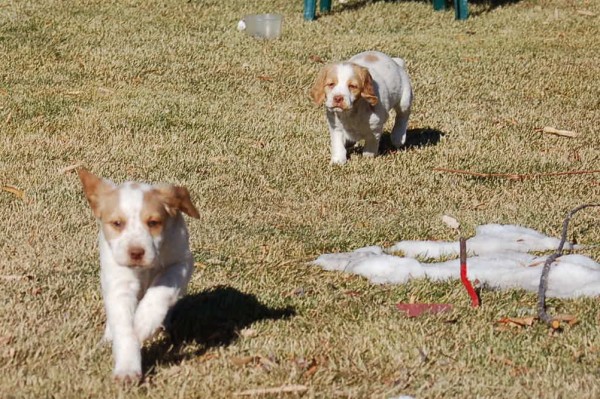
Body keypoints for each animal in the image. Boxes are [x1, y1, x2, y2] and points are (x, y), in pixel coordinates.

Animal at [76, 168, 199, 382]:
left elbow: (162, 287)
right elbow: (125, 329)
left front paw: (143, 322)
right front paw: (127, 369)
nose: (136, 253)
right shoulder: (120, 284)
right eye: (117, 223)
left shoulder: (181, 261)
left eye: (153, 222)